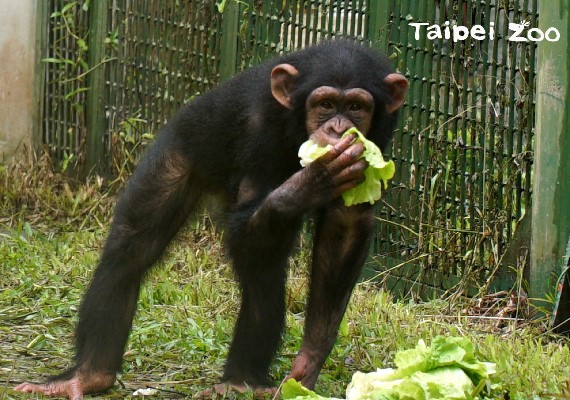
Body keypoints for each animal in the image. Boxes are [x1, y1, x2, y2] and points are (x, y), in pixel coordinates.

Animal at [15, 39, 406, 398]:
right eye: (325, 105)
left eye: (355, 107)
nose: (339, 129)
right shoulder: (259, 129)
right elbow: (244, 225)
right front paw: (313, 180)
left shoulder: (380, 135)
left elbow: (345, 226)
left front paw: (306, 367)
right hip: (180, 152)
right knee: (131, 250)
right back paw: (89, 376)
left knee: (260, 273)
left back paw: (242, 380)